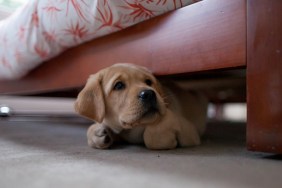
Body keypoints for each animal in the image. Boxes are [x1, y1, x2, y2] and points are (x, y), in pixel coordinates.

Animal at [74, 63, 207, 150]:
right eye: (118, 85)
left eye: (148, 82)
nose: (149, 94)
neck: (132, 129)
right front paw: (98, 131)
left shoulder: (190, 130)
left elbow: (153, 134)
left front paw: (166, 139)